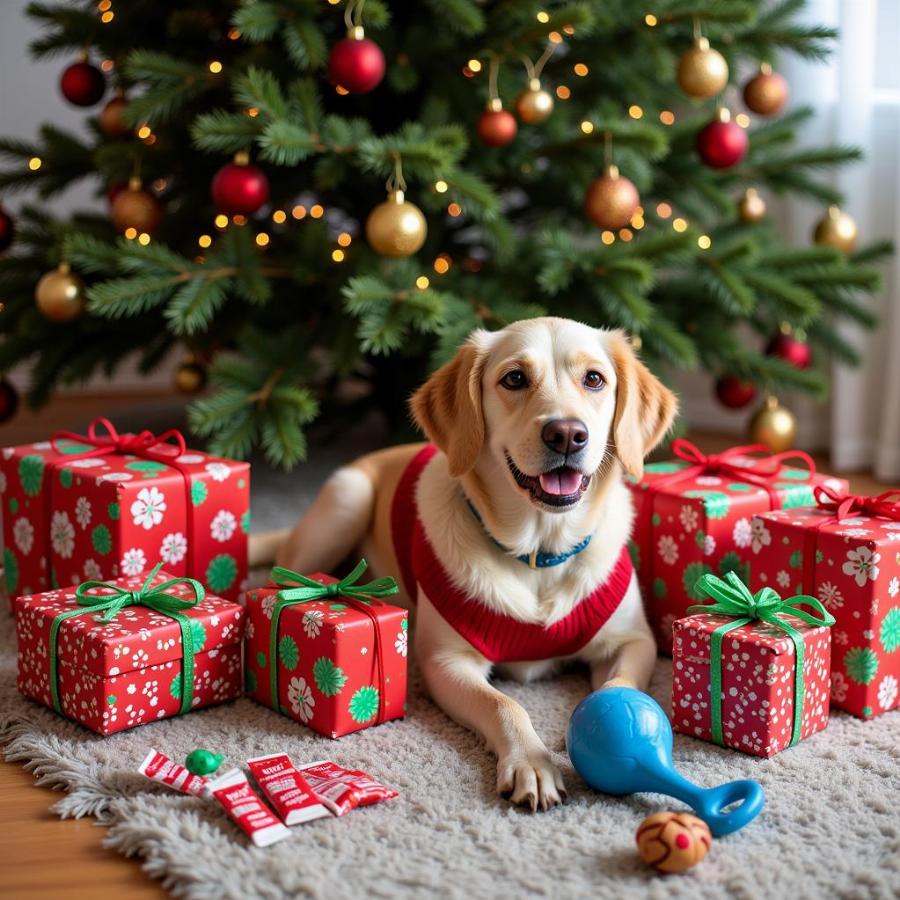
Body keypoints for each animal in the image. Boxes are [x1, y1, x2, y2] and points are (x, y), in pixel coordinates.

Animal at [272, 320, 676, 812]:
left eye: (594, 379)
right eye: (515, 378)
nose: (566, 434)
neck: (539, 554)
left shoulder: (634, 641)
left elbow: (619, 687)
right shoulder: (446, 662)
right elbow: (504, 705)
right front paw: (532, 762)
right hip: (345, 501)